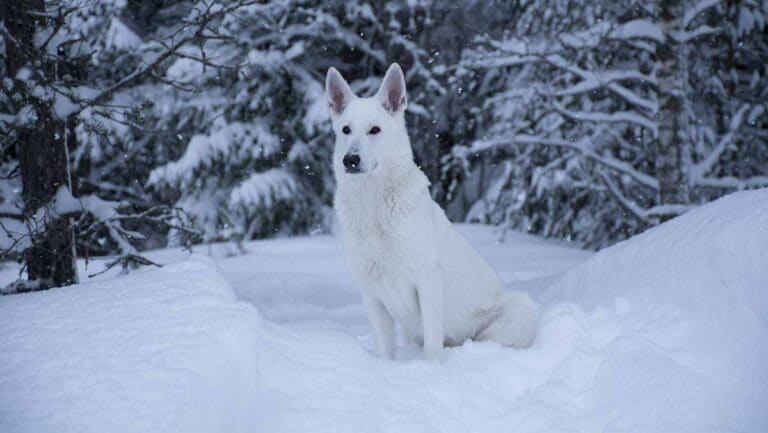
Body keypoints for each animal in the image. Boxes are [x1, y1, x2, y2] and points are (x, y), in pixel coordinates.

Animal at [328, 61, 536, 358]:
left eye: (374, 130)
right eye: (346, 130)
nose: (350, 160)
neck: (374, 206)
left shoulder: (426, 283)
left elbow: (432, 348)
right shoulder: (371, 293)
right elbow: (385, 351)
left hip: (517, 312)